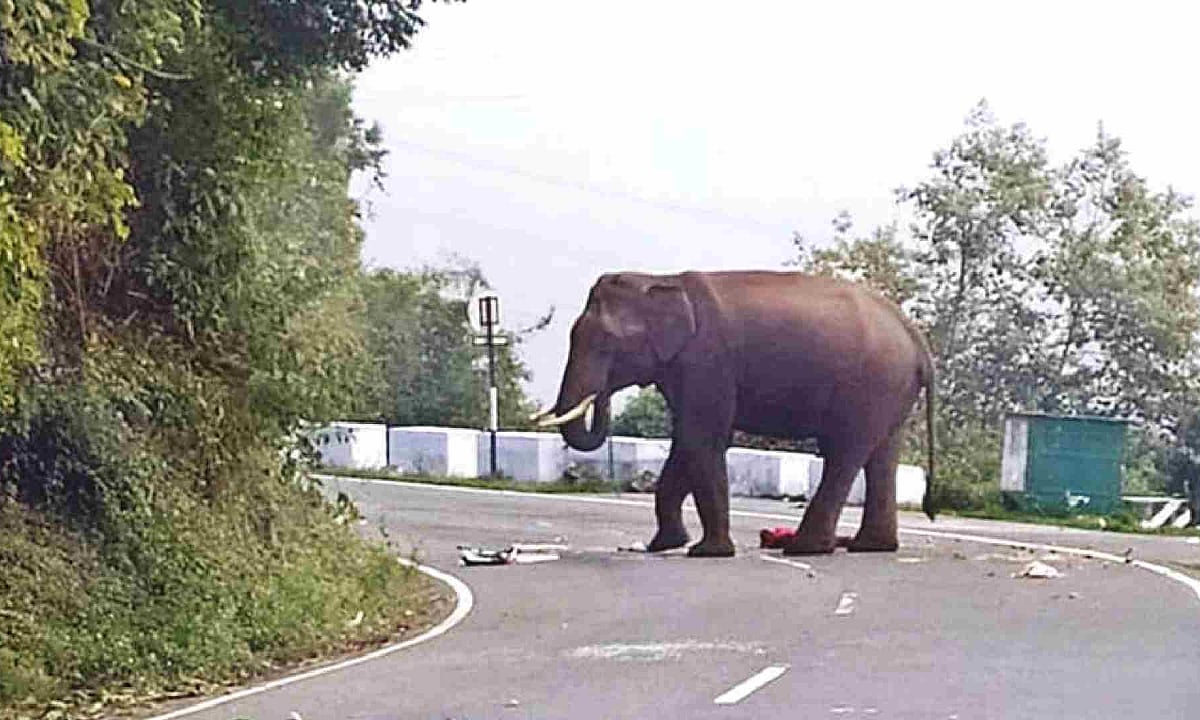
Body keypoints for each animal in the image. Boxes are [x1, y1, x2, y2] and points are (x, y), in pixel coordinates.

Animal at [534, 270, 936, 557]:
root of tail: (914, 335)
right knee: (881, 456)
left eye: (607, 343)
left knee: (844, 453)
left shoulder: (706, 362)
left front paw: (705, 552)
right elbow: (687, 442)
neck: (662, 279)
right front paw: (664, 545)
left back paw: (805, 548)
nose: (603, 396)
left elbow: (703, 438)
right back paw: (869, 546)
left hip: (869, 385)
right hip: (891, 389)